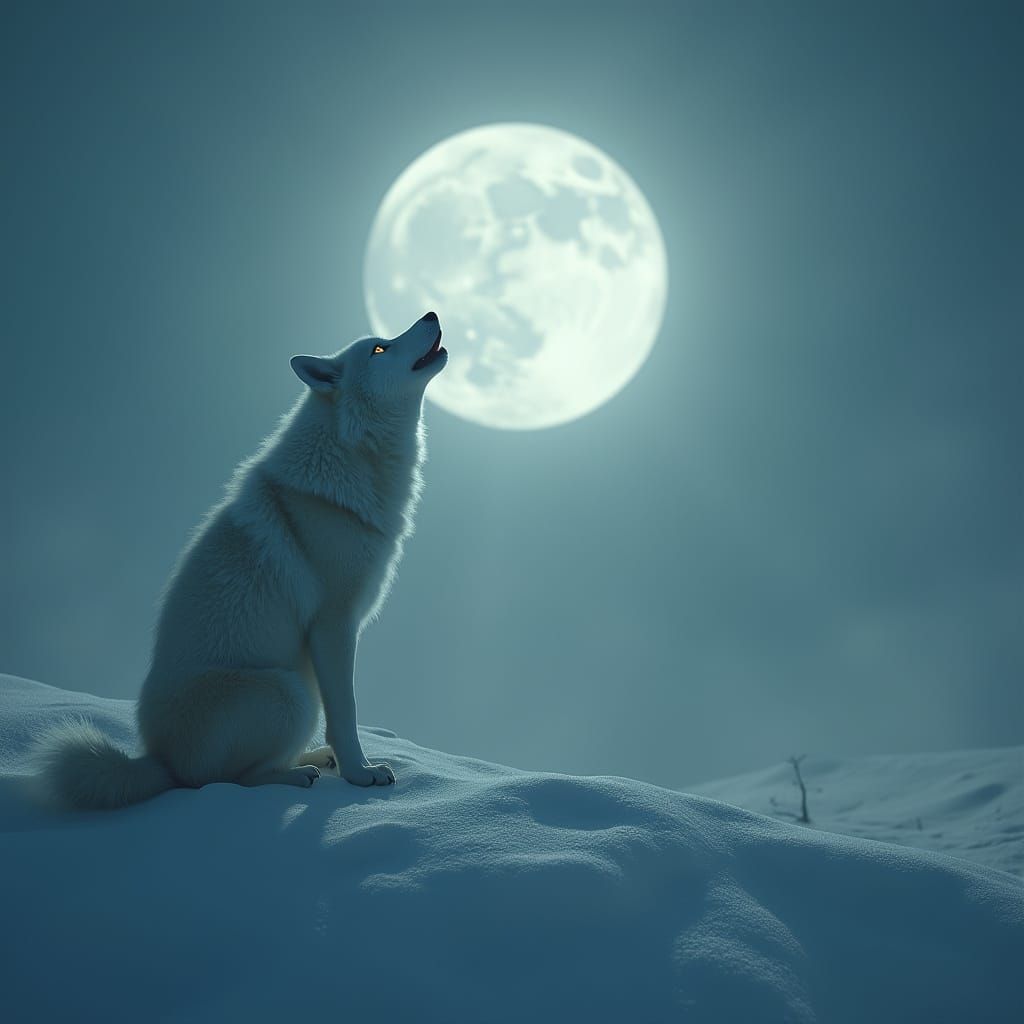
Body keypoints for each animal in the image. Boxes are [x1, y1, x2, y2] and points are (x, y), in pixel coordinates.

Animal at [35, 312, 447, 809]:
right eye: (379, 349)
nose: (432, 315)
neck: (349, 457)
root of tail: (159, 759)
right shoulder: (334, 626)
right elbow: (347, 713)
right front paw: (360, 774)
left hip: (299, 687)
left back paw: (312, 759)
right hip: (291, 692)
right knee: (229, 781)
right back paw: (299, 775)